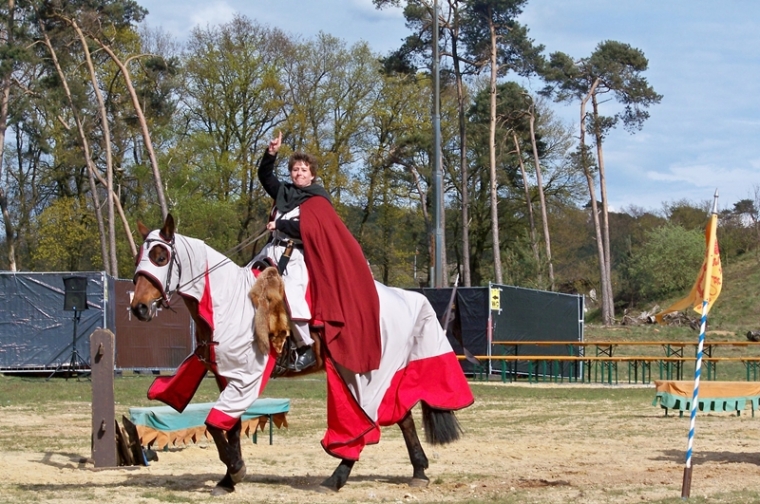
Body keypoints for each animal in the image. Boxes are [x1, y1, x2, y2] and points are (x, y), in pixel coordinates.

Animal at [132, 213, 476, 496]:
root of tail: (409, 298)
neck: (227, 302)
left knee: (367, 422)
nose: (139, 308)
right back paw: (418, 471)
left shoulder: (246, 377)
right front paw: (228, 479)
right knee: (402, 418)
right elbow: (228, 426)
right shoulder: (226, 377)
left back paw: (337, 478)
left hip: (365, 376)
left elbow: (216, 424)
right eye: (140, 255)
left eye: (161, 256)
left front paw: (236, 471)